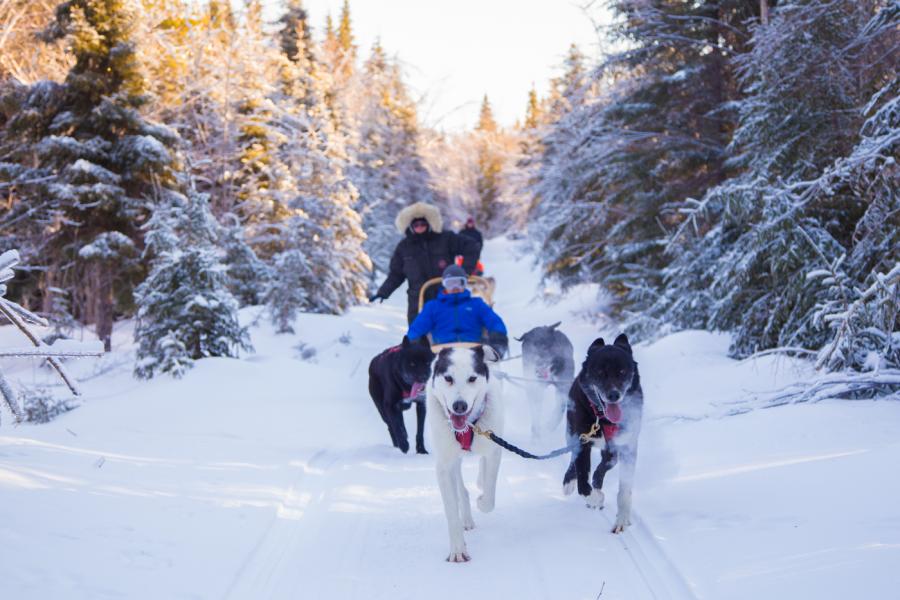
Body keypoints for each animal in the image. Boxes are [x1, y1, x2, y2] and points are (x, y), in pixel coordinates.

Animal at [426, 344, 502, 560]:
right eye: (448, 378)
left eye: (472, 378)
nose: (459, 405)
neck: (469, 427)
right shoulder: (444, 466)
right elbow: (451, 510)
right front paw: (458, 550)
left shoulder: (494, 450)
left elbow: (490, 495)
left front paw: (482, 500)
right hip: (453, 460)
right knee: (461, 489)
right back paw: (466, 519)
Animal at [564, 332, 640, 536]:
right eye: (600, 372)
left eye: (622, 372)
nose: (613, 395)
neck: (602, 419)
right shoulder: (582, 441)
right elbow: (583, 484)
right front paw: (595, 499)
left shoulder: (626, 445)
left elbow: (623, 489)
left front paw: (622, 519)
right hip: (571, 432)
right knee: (573, 461)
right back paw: (569, 481)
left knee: (606, 464)